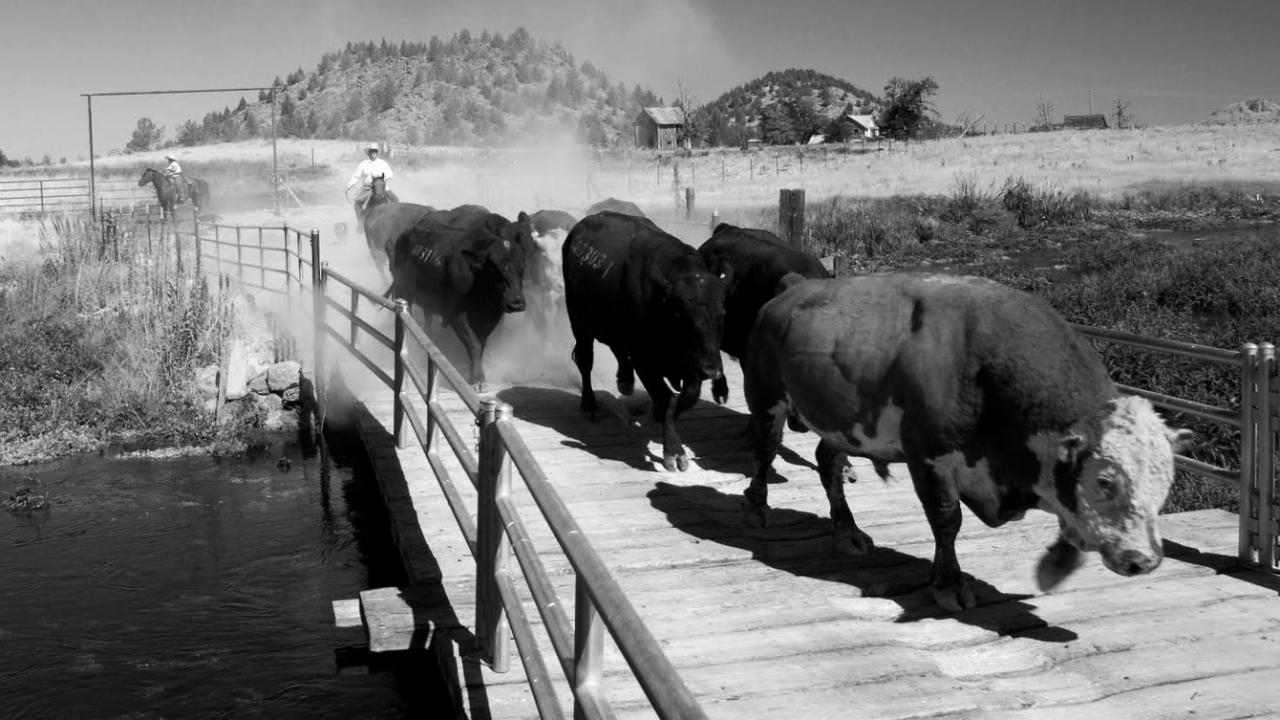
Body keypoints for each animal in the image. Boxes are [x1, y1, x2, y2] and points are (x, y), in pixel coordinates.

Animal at [387, 205, 533, 389]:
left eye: (522, 263)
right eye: (493, 266)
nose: (515, 303)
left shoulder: (491, 317)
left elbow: (481, 345)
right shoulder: (456, 314)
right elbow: (474, 345)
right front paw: (478, 379)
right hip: (403, 291)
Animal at [563, 211, 727, 471]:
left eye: (722, 313)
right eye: (681, 316)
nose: (712, 371)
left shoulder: (692, 363)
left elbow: (686, 398)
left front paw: (658, 419)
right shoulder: (645, 360)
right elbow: (666, 399)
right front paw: (674, 451)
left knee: (617, 348)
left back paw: (625, 381)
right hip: (578, 322)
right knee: (585, 361)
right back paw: (589, 404)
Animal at [742, 273, 1192, 612]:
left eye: (1166, 484)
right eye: (1105, 481)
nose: (1144, 560)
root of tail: (785, 296)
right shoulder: (930, 459)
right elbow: (947, 521)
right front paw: (948, 583)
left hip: (838, 422)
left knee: (828, 461)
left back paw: (847, 530)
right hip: (766, 397)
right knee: (765, 449)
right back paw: (758, 505)